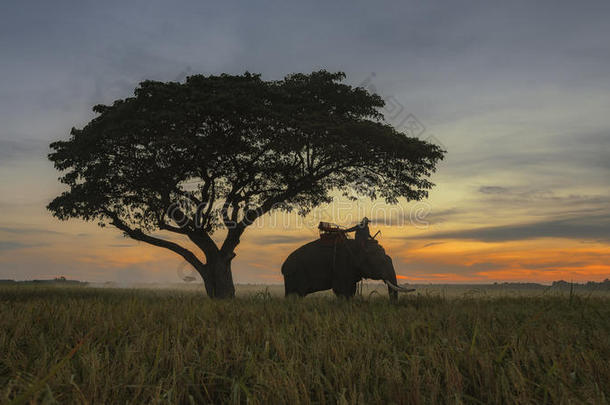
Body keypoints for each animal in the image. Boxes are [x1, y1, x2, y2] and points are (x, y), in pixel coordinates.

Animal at [282, 235, 414, 298]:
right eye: (381, 262)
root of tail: (283, 267)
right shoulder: (341, 264)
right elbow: (341, 290)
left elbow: (351, 290)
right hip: (296, 274)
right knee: (296, 295)